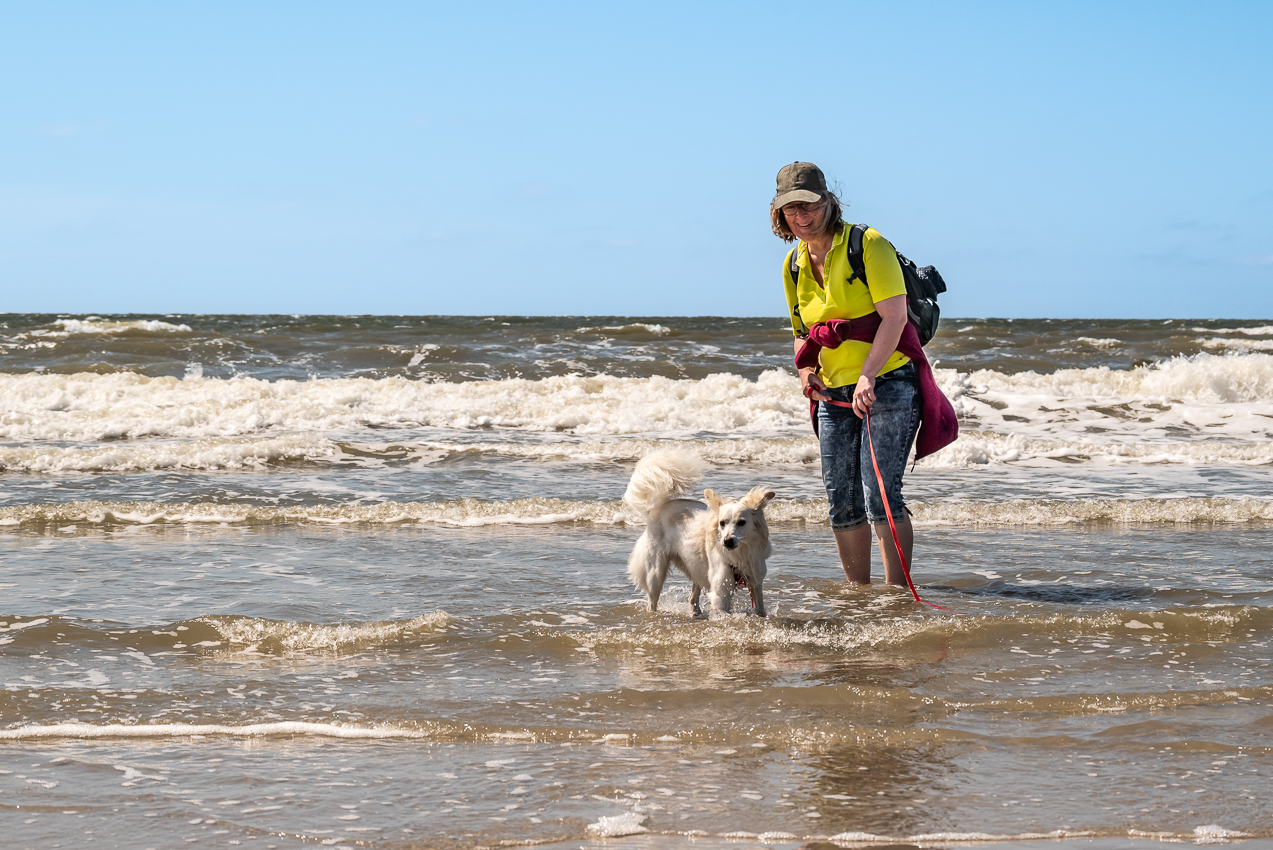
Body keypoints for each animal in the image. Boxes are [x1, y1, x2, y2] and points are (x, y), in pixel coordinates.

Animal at [623, 450, 773, 618]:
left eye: (742, 522)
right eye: (722, 523)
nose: (727, 541)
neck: (740, 554)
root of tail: (658, 507)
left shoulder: (755, 581)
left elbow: (760, 608)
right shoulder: (720, 592)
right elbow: (723, 612)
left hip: (695, 565)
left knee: (692, 596)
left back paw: (696, 612)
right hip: (656, 572)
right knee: (652, 601)